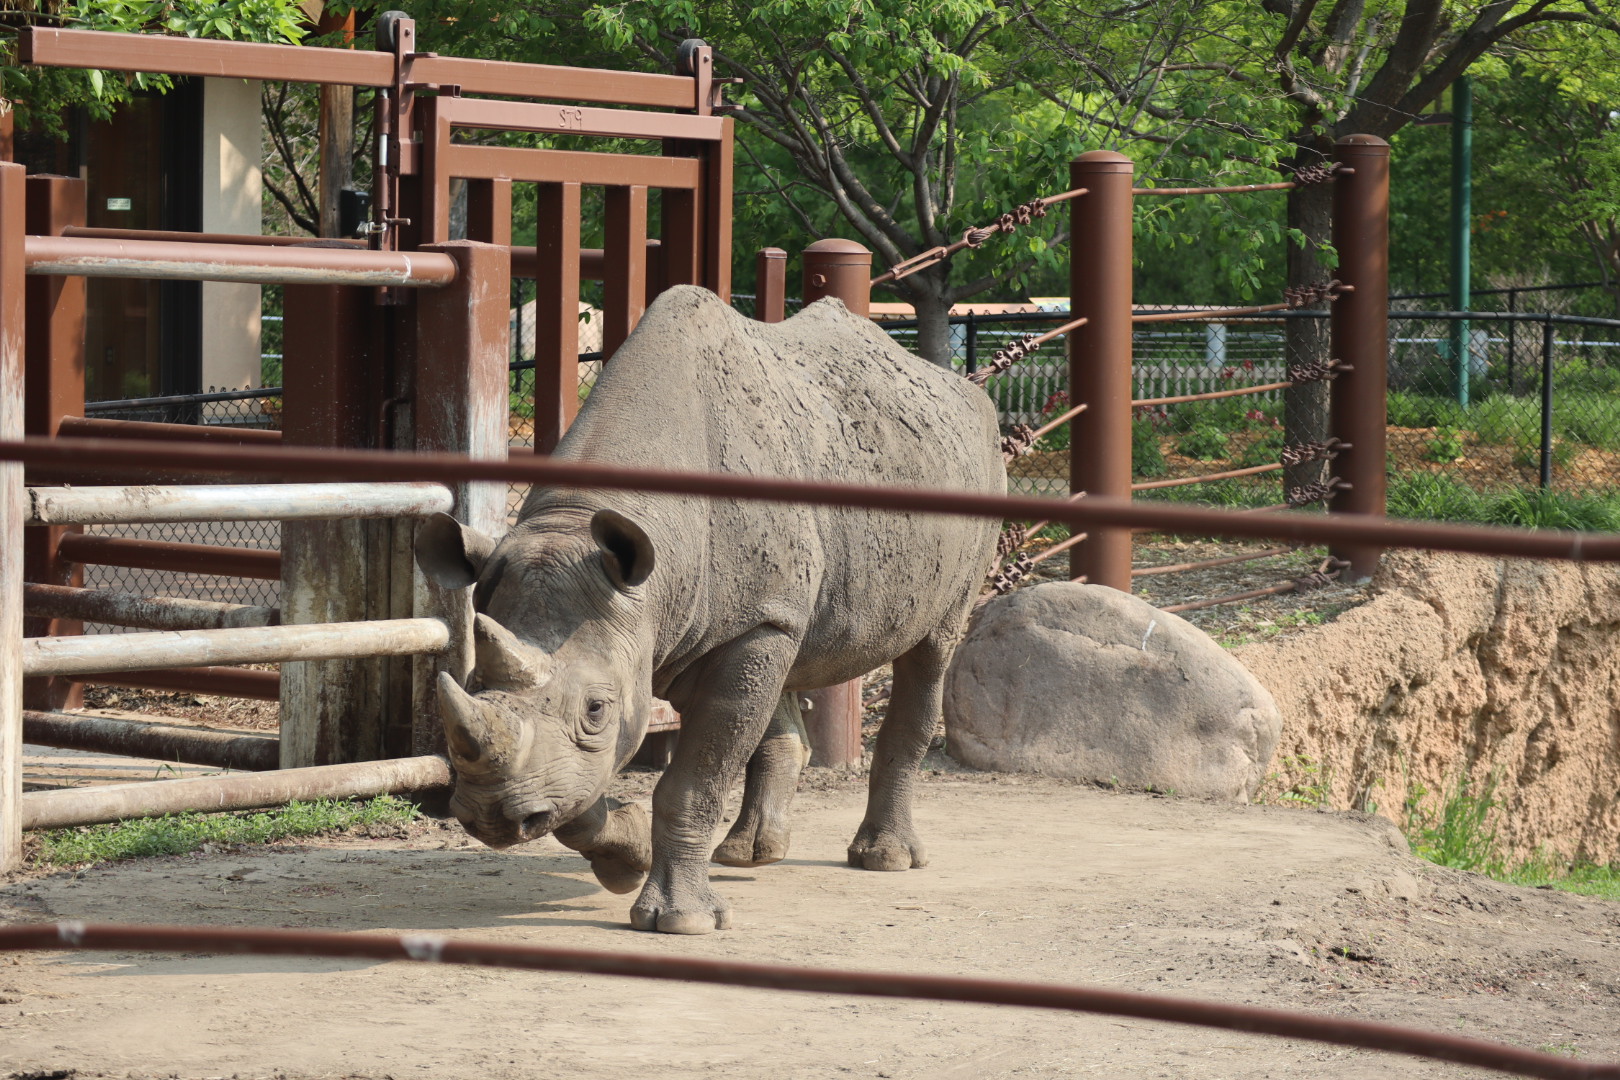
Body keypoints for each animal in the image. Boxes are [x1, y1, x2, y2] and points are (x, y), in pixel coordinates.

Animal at [415, 285, 1004, 934]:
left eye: (596, 709)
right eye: (471, 683)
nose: (492, 818)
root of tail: (966, 390)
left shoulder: (732, 622)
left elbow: (691, 779)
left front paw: (681, 921)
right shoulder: (665, 623)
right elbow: (579, 787)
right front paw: (626, 858)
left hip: (977, 475)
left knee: (931, 649)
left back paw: (884, 859)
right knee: (789, 665)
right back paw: (748, 855)